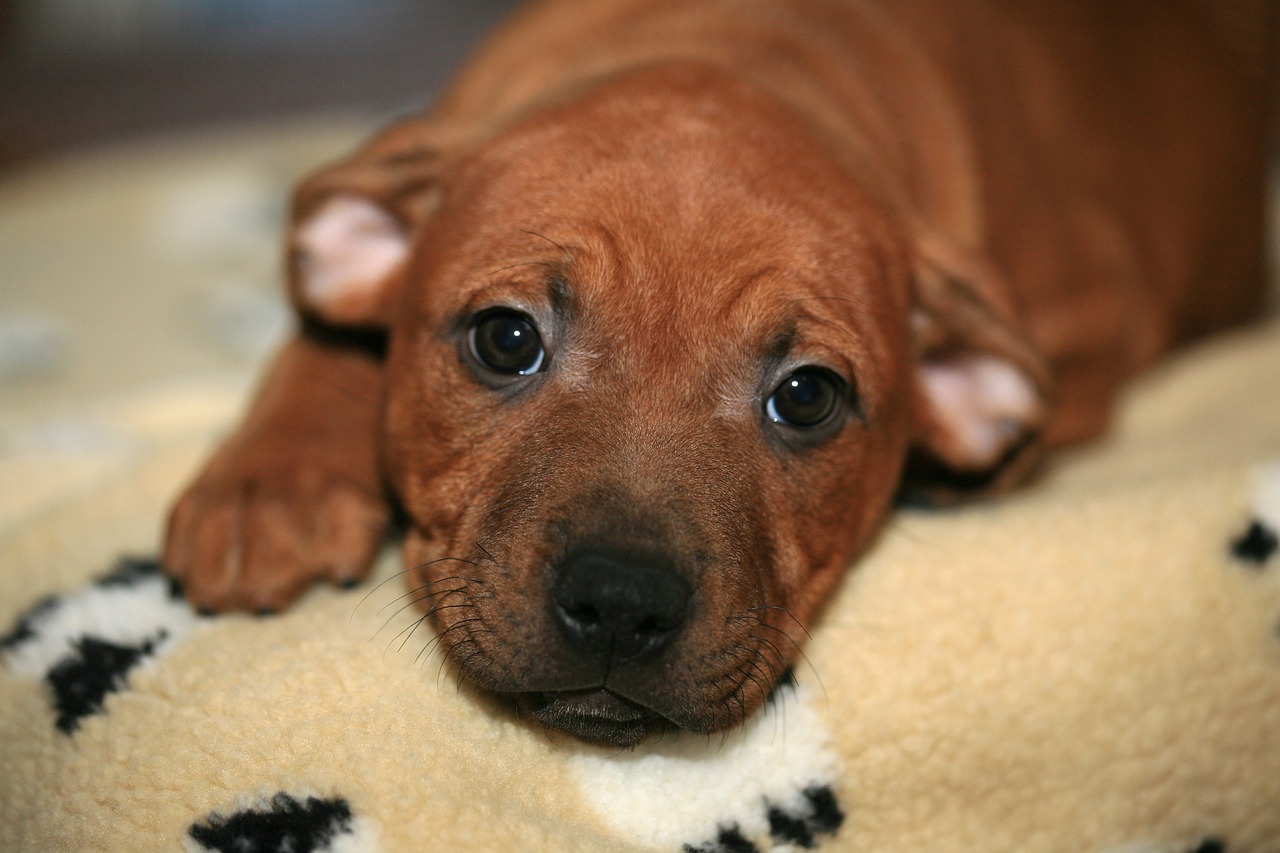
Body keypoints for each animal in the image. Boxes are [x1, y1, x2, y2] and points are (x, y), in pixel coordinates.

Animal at [162, 0, 1269, 742]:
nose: (620, 604)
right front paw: (268, 482)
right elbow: (328, 328)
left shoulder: (1097, 310)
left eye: (806, 397)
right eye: (505, 340)